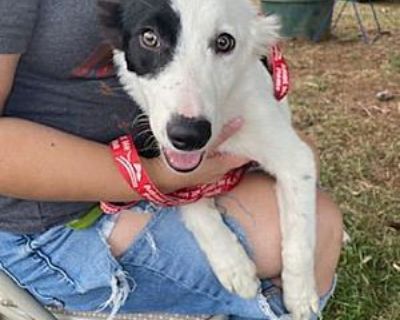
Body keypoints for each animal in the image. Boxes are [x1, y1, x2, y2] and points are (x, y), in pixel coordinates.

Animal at [100, 1, 318, 318]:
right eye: (149, 37)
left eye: (224, 42)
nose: (188, 135)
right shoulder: (172, 173)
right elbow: (193, 206)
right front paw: (233, 264)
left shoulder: (295, 159)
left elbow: (300, 237)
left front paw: (300, 296)